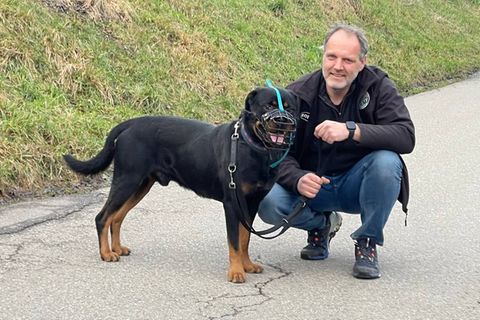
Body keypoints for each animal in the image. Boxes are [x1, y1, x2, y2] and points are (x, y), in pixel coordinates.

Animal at [63, 87, 296, 282]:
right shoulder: (232, 203)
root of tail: (130, 123)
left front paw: (247, 265)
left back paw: (117, 248)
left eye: (290, 107)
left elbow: (245, 238)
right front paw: (237, 272)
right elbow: (235, 242)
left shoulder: (252, 203)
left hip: (140, 185)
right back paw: (106, 253)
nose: (283, 121)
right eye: (268, 106)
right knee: (103, 217)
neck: (252, 147)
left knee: (117, 217)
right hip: (127, 180)